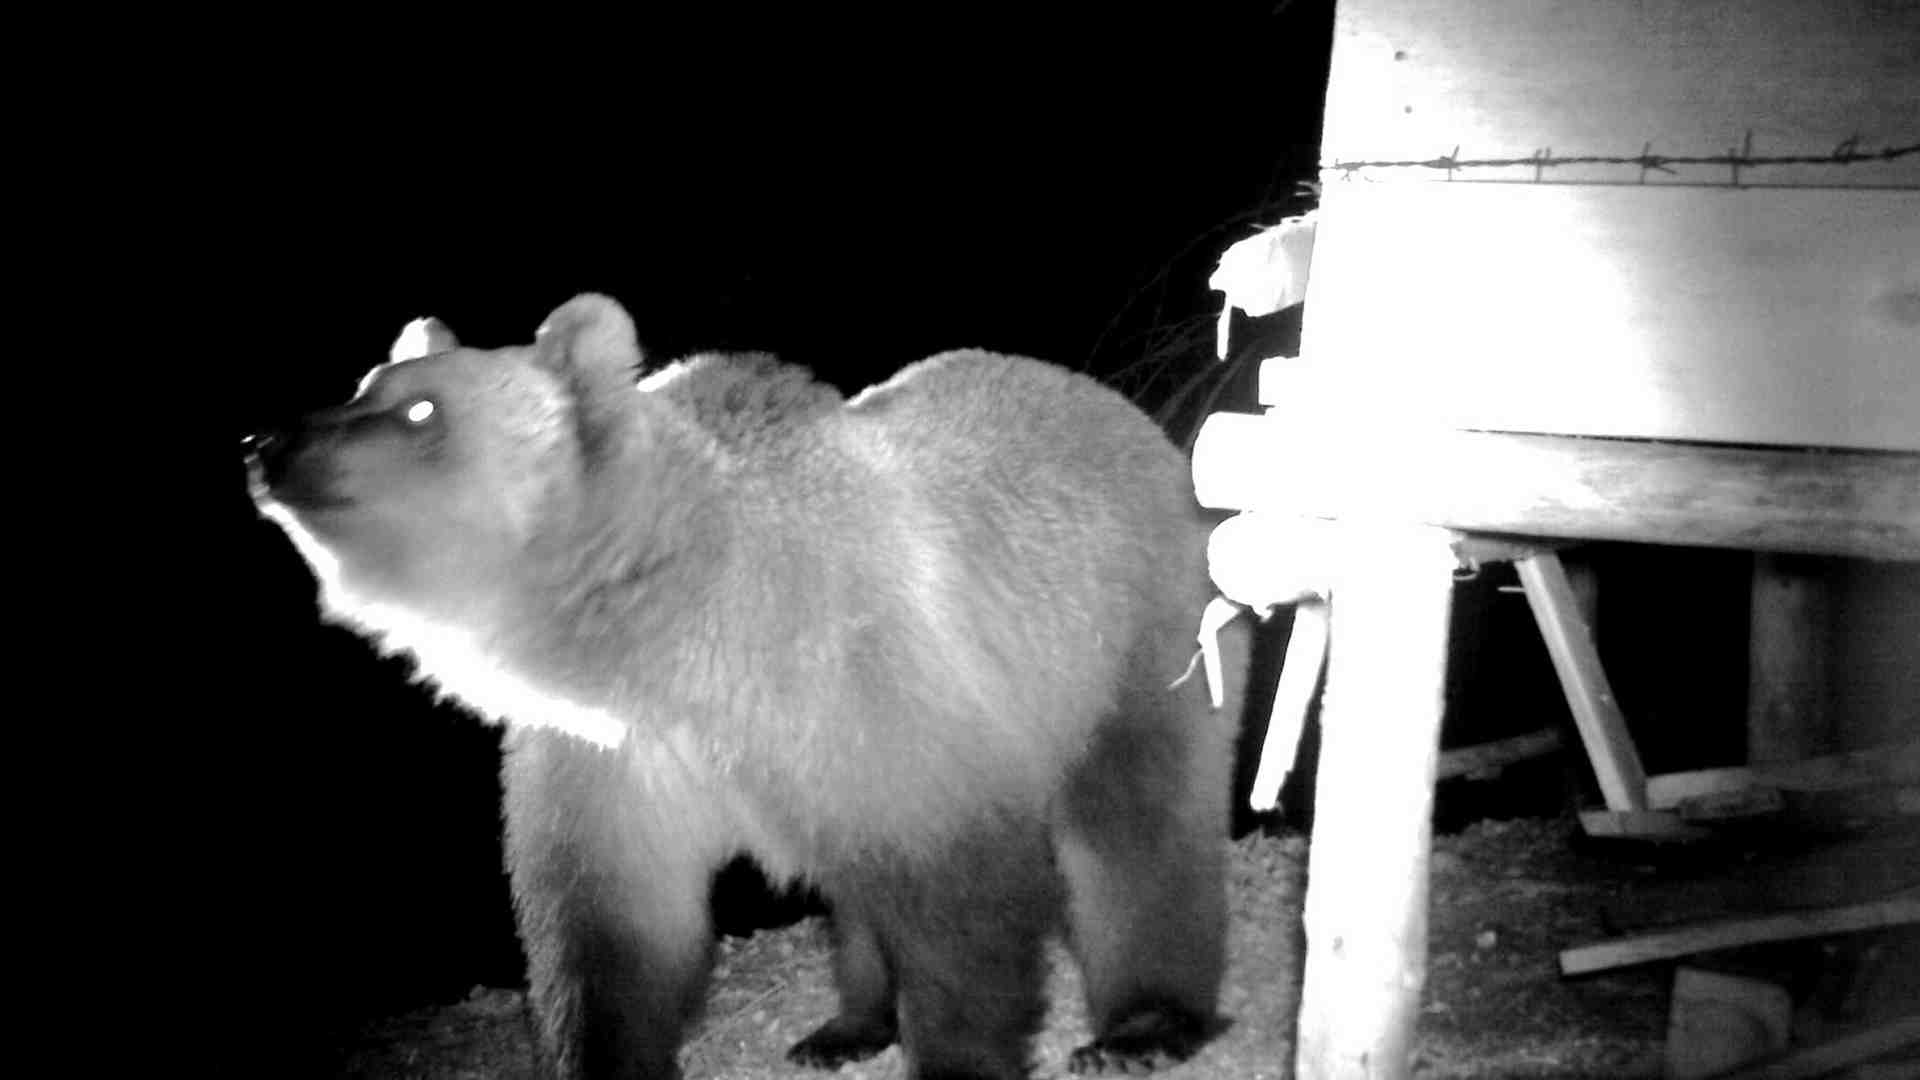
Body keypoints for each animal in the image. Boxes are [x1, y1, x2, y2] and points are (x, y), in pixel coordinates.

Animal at [246, 294, 1249, 1080]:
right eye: (365, 381)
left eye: (421, 410)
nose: (267, 442)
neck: (665, 632)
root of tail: (1130, 416)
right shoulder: (610, 754)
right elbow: (607, 931)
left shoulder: (859, 674)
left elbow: (957, 897)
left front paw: (963, 1053)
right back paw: (848, 1026)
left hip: (1131, 628)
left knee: (1137, 822)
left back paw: (1143, 1026)